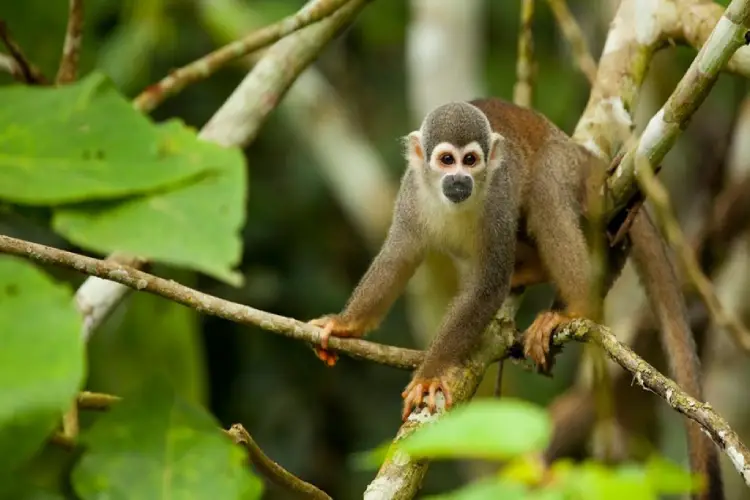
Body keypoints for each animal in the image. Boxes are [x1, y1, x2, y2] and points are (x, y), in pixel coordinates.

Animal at [308, 98, 721, 499]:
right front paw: (345, 325)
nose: (459, 180)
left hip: (564, 168)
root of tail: (576, 149)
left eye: (470, 160)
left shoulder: (497, 198)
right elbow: (396, 260)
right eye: (446, 160)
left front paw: (430, 373)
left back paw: (576, 304)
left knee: (545, 195)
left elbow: (487, 287)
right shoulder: (411, 196)